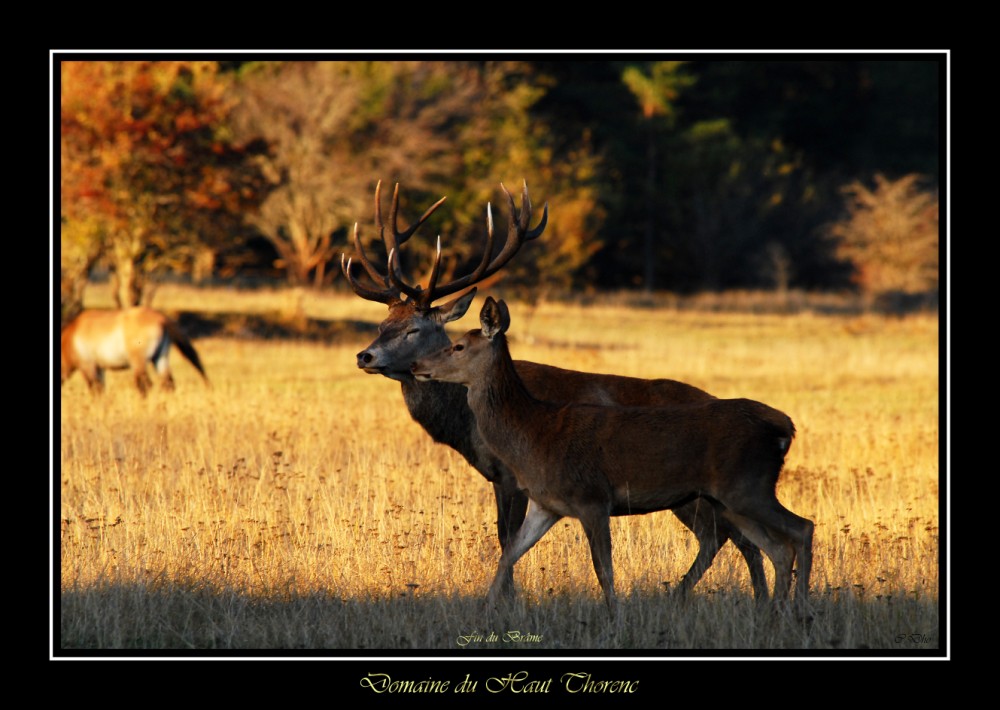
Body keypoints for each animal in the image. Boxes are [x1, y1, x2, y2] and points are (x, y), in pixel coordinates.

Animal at [60, 306, 209, 394]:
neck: (71, 337)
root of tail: (162, 319)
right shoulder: (100, 367)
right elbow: (101, 389)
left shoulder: (88, 366)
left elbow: (95, 390)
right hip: (160, 359)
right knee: (168, 384)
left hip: (139, 362)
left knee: (146, 385)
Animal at [340, 182, 768, 600]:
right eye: (383, 323)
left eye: (413, 328)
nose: (365, 355)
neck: (468, 424)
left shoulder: (511, 475)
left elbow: (506, 537)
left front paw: (510, 598)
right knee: (735, 537)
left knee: (730, 536)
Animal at [412, 298, 812, 616]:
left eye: (459, 346)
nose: (417, 366)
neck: (534, 432)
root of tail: (784, 427)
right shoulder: (547, 504)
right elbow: (509, 553)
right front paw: (484, 612)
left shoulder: (593, 498)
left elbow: (603, 569)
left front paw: (615, 618)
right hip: (729, 498)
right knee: (775, 547)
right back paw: (775, 612)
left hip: (747, 485)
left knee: (801, 528)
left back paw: (799, 611)